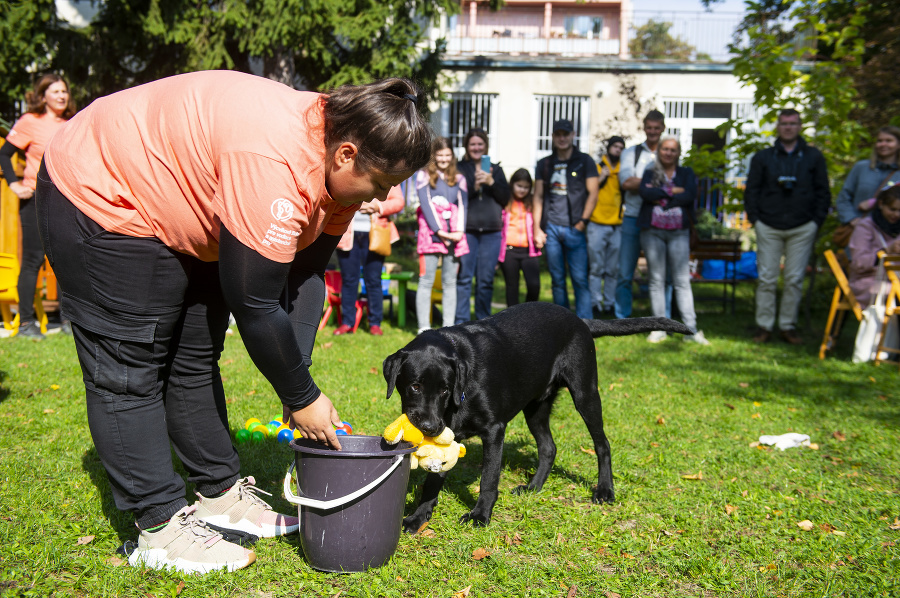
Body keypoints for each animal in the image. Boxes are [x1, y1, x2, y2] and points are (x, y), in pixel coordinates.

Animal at [384, 302, 692, 532]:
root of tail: (580, 319)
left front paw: (480, 515)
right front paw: (419, 516)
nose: (429, 427)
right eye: (414, 386)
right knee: (548, 447)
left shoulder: (494, 430)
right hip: (536, 408)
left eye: (445, 389)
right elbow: (433, 481)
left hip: (586, 394)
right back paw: (534, 486)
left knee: (602, 444)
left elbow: (489, 480)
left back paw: (605, 490)